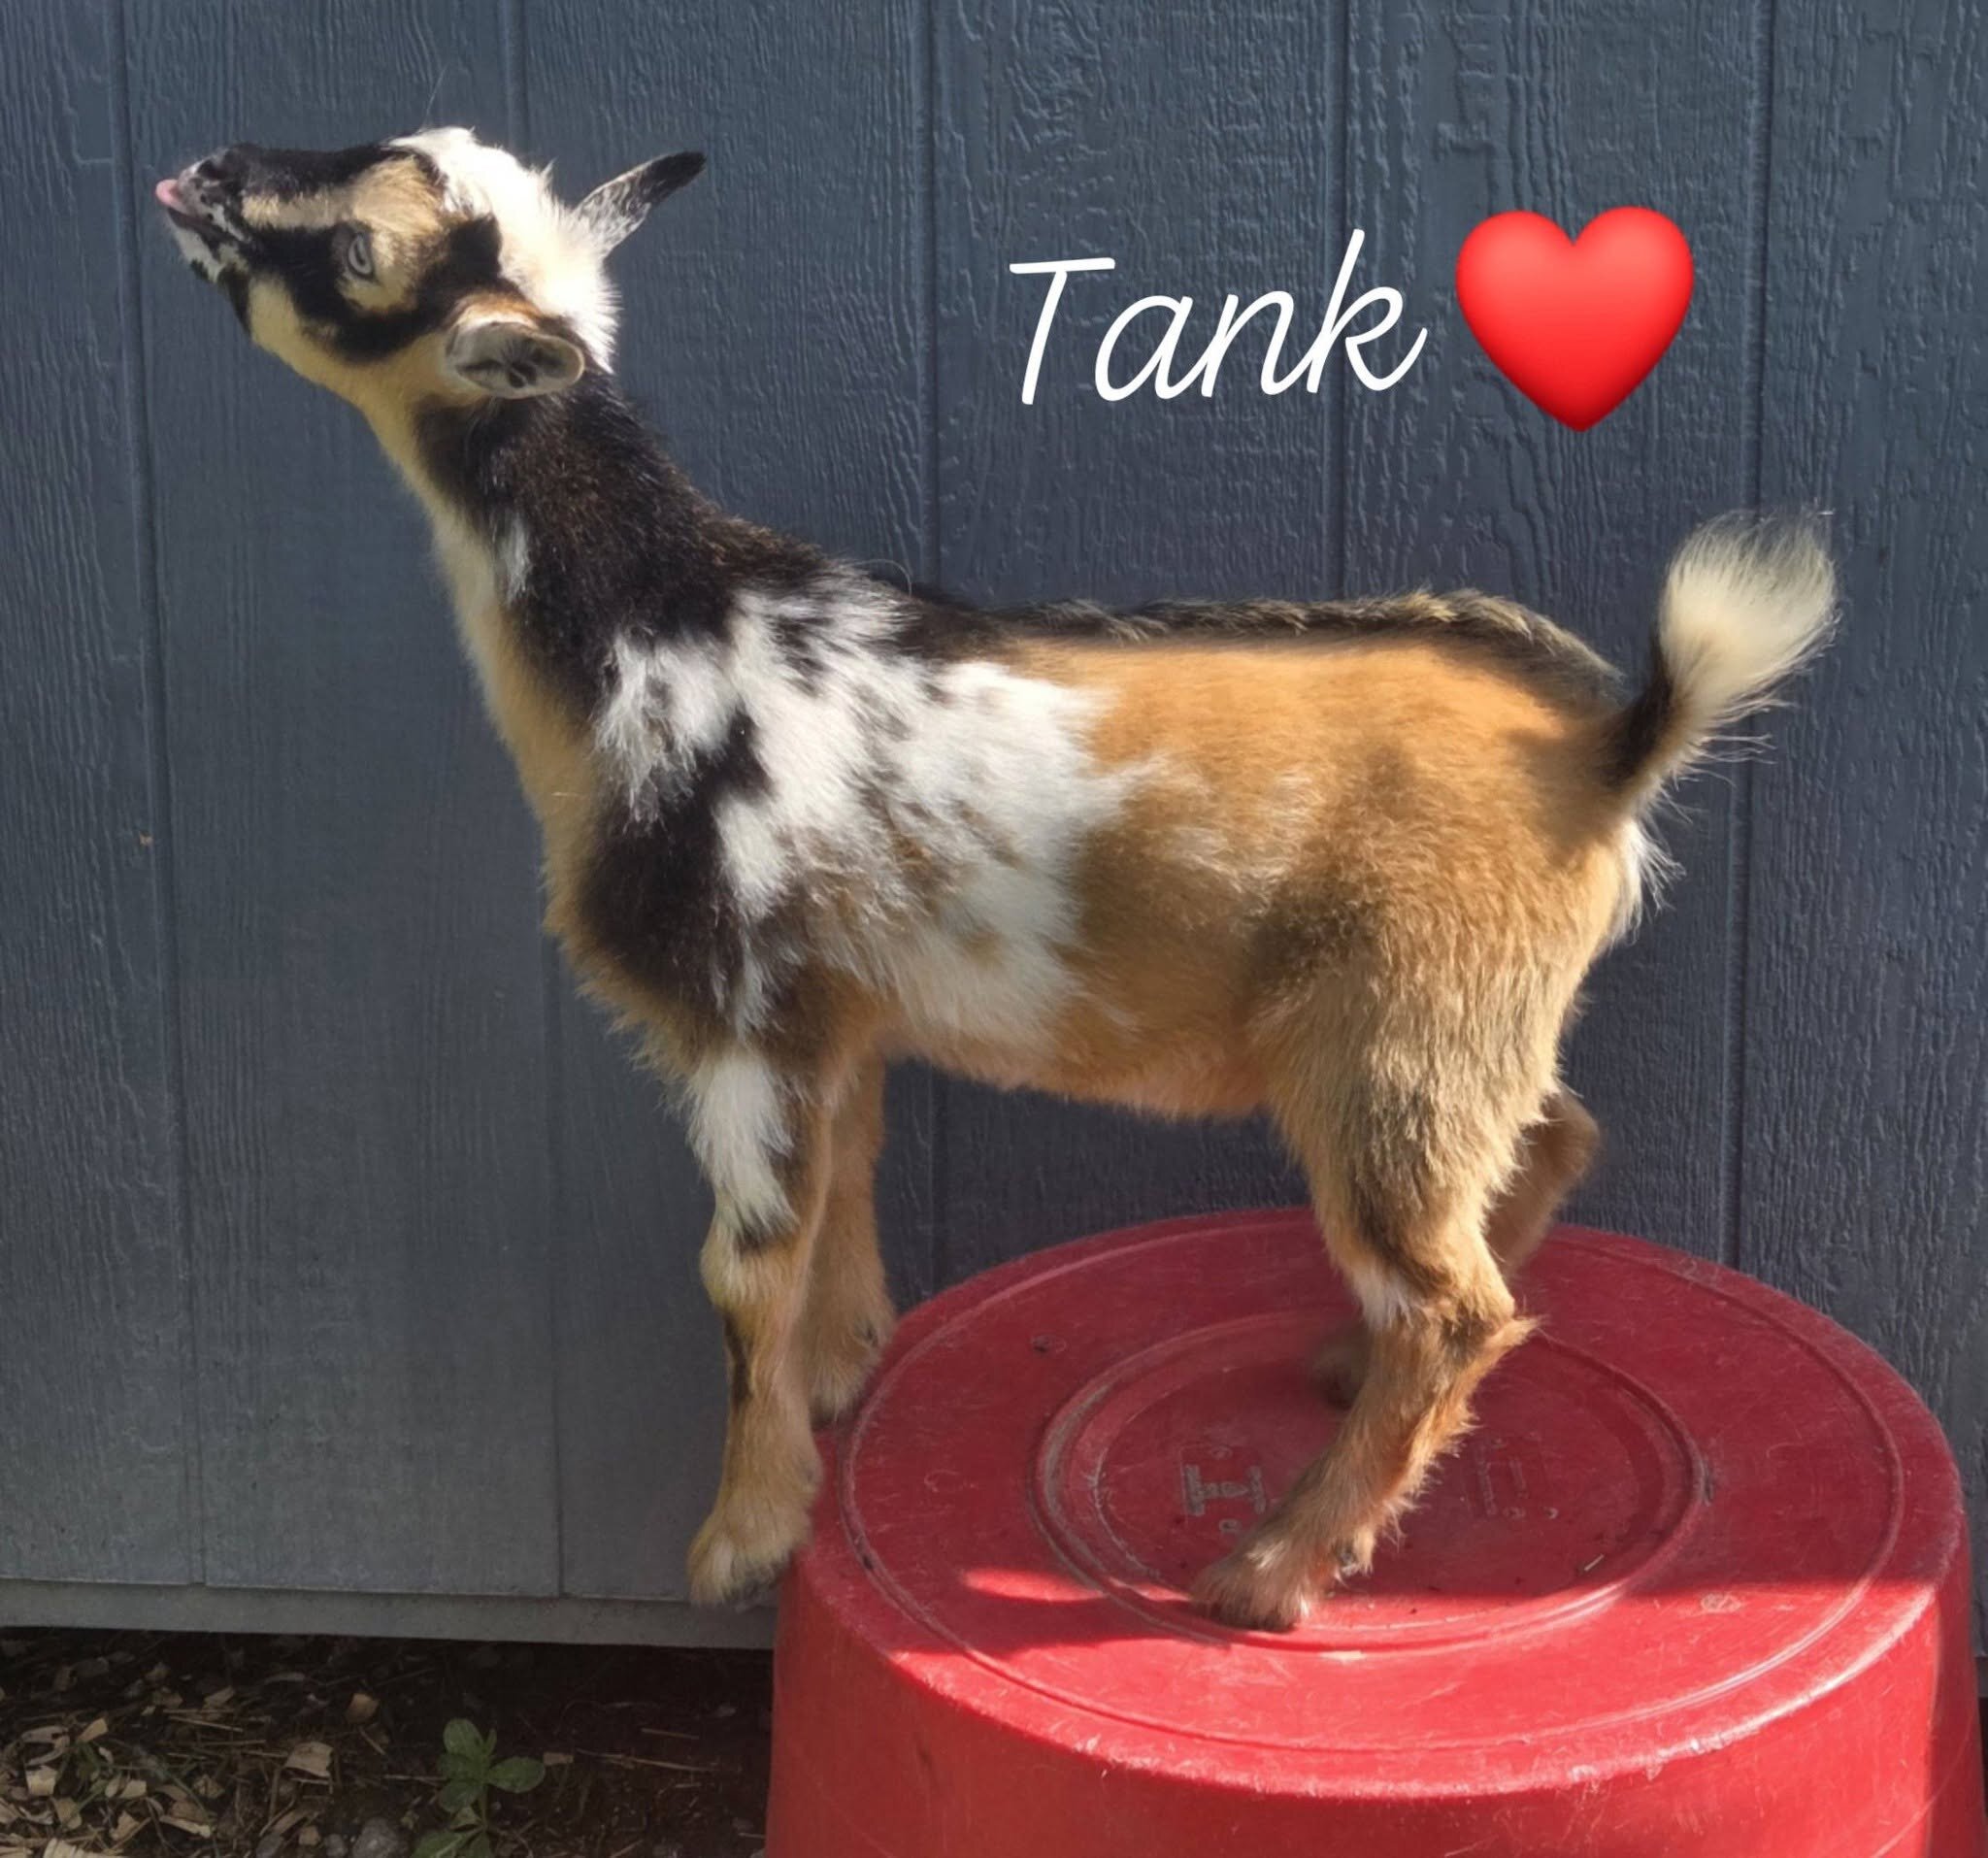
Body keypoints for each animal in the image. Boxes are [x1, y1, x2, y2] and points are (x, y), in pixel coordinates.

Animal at [156, 128, 1834, 1630]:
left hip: (1394, 1048)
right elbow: (841, 1190)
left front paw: (743, 1537)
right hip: (1458, 1030)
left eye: (358, 249)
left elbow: (739, 1273)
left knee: (1453, 1302)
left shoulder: (740, 1009)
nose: (201, 176)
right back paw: (1339, 1380)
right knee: (1545, 1156)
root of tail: (1612, 745)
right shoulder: (831, 1023)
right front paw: (846, 1377)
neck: (666, 628)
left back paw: (1272, 1569)